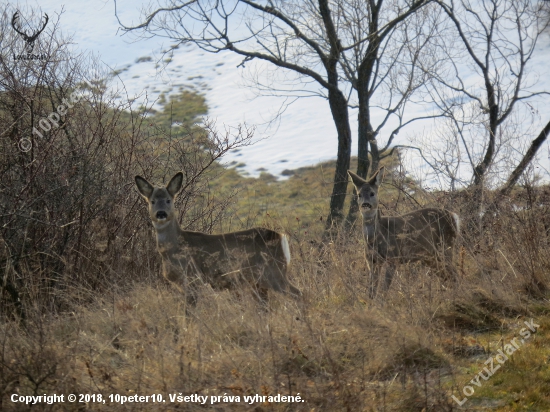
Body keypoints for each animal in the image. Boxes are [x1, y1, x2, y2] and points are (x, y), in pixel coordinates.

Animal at [136, 172, 304, 304]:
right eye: (152, 201)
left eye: (168, 200)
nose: (161, 213)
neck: (173, 249)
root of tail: (280, 237)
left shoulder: (192, 277)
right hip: (260, 282)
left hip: (273, 272)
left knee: (299, 294)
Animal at [350, 166, 462, 298]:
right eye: (359, 194)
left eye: (372, 193)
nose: (365, 204)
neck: (378, 236)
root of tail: (454, 217)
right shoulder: (371, 261)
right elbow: (371, 291)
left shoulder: (393, 258)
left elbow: (384, 289)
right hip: (431, 256)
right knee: (447, 276)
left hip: (446, 246)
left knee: (454, 274)